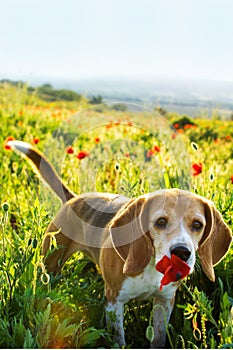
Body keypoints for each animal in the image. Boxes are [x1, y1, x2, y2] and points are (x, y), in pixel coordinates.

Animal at [6, 141, 231, 348]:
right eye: (160, 222)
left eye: (197, 225)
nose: (181, 252)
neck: (151, 264)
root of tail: (74, 199)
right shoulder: (114, 301)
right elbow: (118, 339)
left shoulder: (164, 302)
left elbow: (157, 337)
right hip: (51, 265)